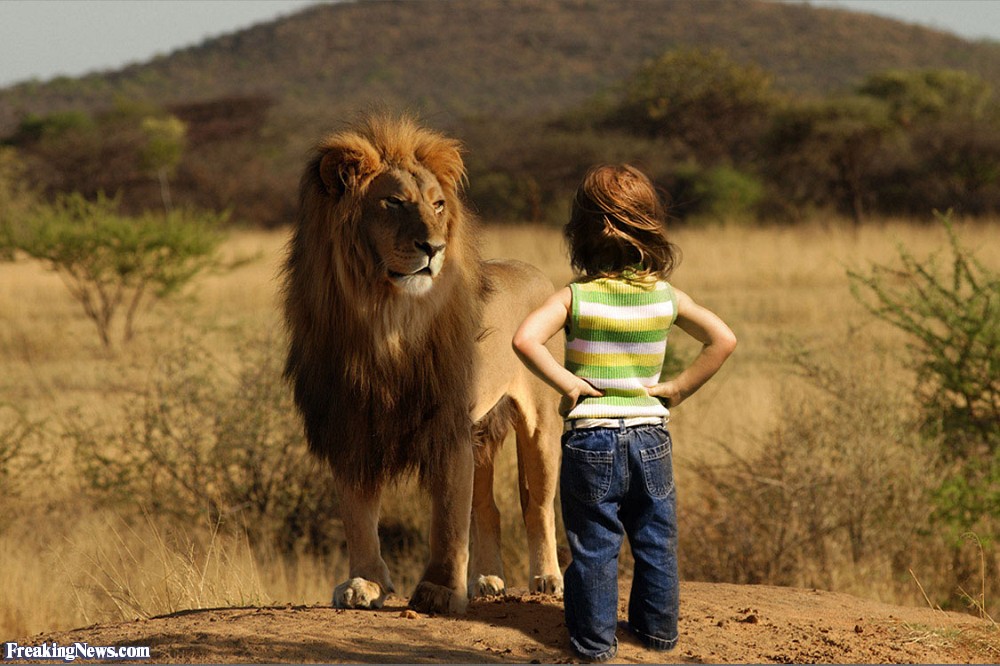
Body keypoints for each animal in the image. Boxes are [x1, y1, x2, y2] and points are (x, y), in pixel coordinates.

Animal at [282, 114, 568, 612]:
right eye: (393, 202)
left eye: (437, 205)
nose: (433, 247)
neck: (386, 321)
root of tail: (536, 273)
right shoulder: (349, 424)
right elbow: (358, 516)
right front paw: (365, 583)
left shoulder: (448, 424)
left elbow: (448, 518)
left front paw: (438, 591)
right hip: (483, 432)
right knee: (488, 508)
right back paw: (488, 580)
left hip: (541, 423)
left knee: (537, 505)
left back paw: (547, 578)